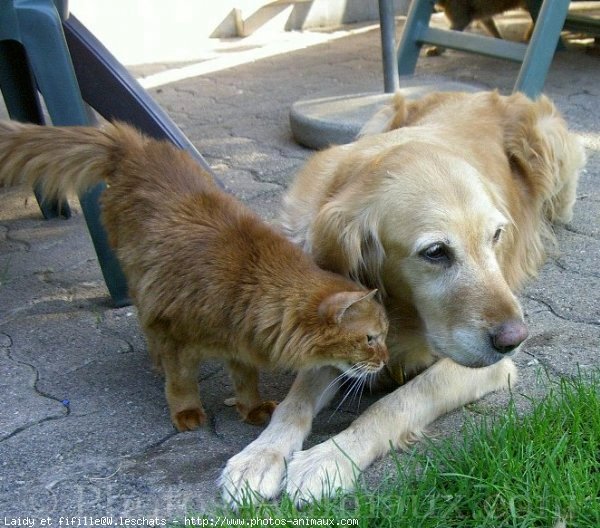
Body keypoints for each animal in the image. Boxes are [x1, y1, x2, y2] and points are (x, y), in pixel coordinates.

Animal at [0, 121, 390, 432]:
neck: (248, 283)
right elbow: (182, 383)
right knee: (146, 326)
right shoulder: (175, 336)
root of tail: (136, 147)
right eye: (370, 338)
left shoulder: (240, 346)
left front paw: (251, 409)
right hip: (139, 283)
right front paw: (187, 413)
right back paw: (156, 363)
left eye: (385, 335)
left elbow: (246, 382)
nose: (386, 360)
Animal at [220, 89, 584, 504]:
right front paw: (260, 454)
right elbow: (293, 401)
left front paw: (329, 458)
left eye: (496, 235)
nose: (515, 339)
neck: (402, 308)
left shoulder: (487, 367)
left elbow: (398, 402)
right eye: (435, 252)